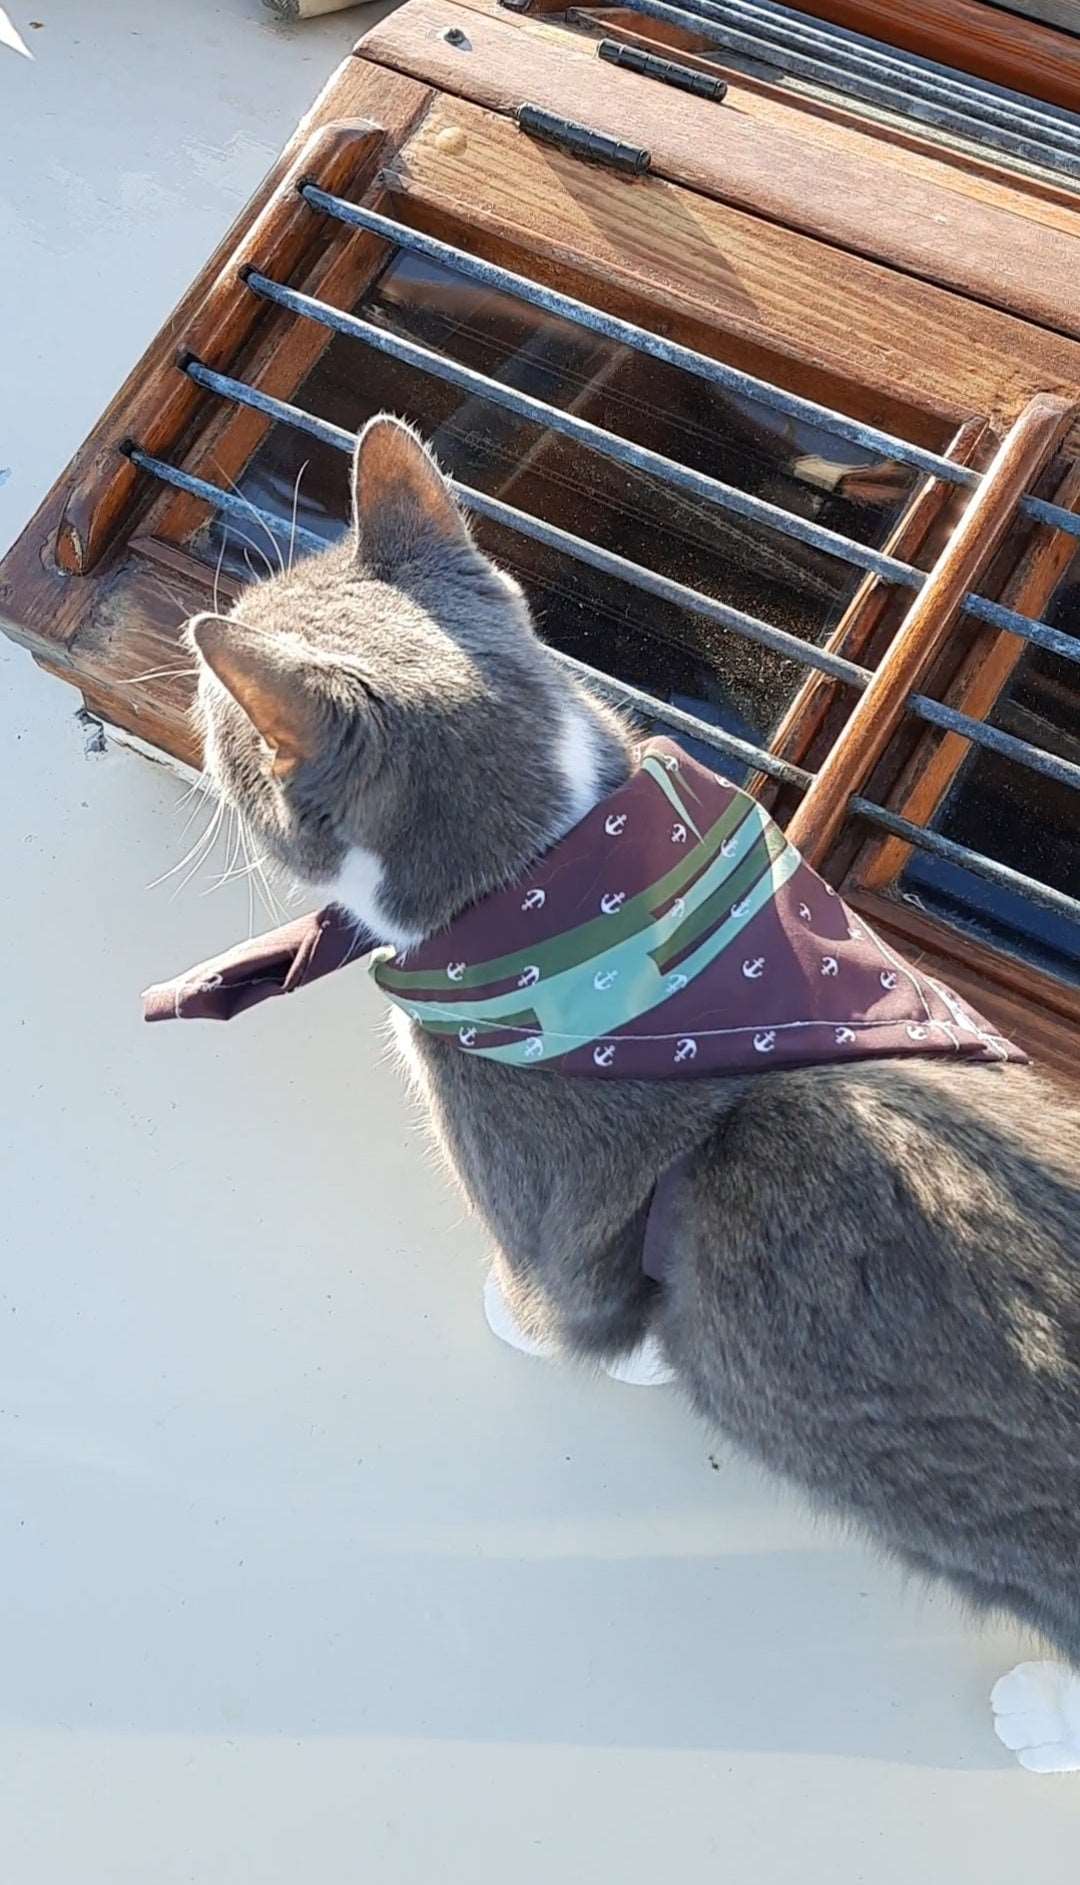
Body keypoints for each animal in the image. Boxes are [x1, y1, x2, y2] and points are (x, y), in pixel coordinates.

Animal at [189, 412, 1078, 1764]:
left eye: (217, 703)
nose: (191, 685)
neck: (567, 885)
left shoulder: (550, 1202)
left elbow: (569, 1298)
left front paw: (535, 1324)